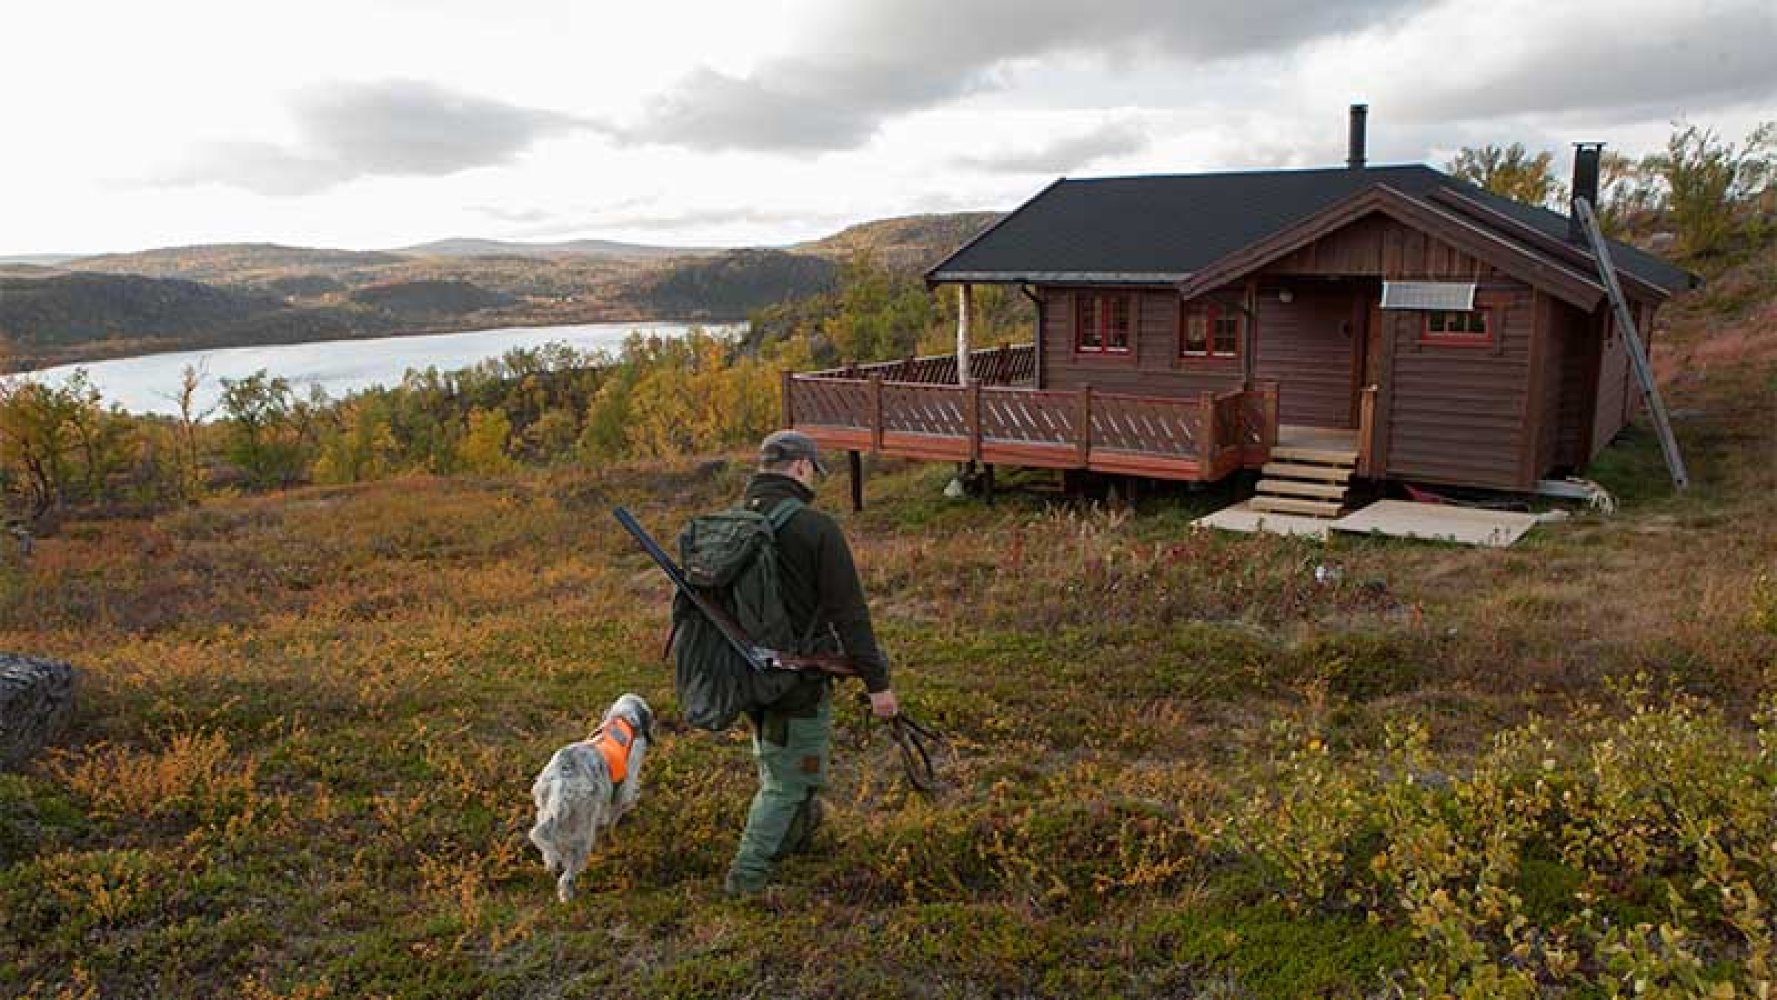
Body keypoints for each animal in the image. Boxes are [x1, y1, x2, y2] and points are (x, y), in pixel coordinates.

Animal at [525, 692, 653, 902]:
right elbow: (616, 814)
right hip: (582, 835)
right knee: (567, 874)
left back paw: (552, 865)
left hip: (544, 813)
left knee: (549, 853)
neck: (621, 720)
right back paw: (568, 895)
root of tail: (561, 783)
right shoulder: (625, 792)